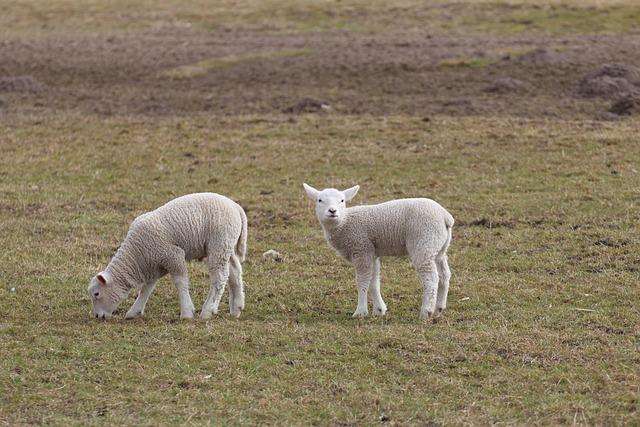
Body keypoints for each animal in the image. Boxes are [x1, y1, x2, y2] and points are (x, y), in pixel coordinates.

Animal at [89, 194, 249, 320]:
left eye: (97, 294)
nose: (97, 316)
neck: (136, 254)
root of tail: (236, 207)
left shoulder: (172, 255)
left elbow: (180, 282)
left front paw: (186, 313)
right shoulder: (154, 264)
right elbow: (146, 288)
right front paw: (134, 312)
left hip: (219, 243)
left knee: (219, 277)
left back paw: (207, 311)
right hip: (226, 246)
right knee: (235, 271)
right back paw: (236, 308)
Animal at [302, 184, 452, 320]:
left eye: (342, 200)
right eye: (320, 200)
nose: (332, 211)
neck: (344, 222)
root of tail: (445, 216)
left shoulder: (361, 250)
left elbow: (362, 281)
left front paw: (360, 312)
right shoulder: (371, 253)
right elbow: (374, 281)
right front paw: (379, 310)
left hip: (424, 242)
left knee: (431, 278)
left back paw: (426, 312)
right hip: (438, 247)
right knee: (444, 274)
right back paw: (438, 309)